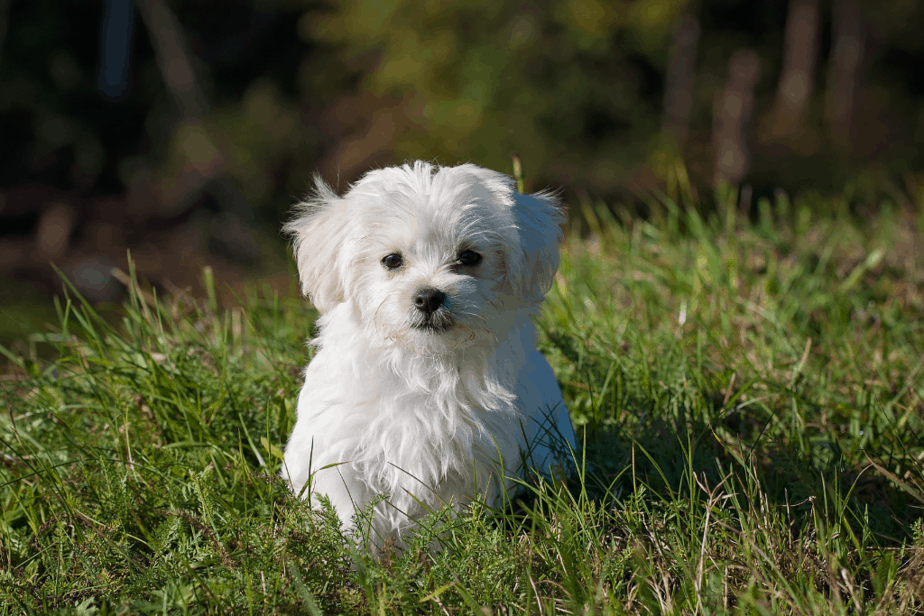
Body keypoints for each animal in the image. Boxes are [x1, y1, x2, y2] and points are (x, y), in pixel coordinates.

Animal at [278, 160, 572, 548]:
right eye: (391, 260)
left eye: (469, 257)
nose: (429, 296)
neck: (424, 363)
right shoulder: (340, 451)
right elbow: (349, 513)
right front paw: (354, 557)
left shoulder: (470, 459)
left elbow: (447, 516)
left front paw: (441, 551)